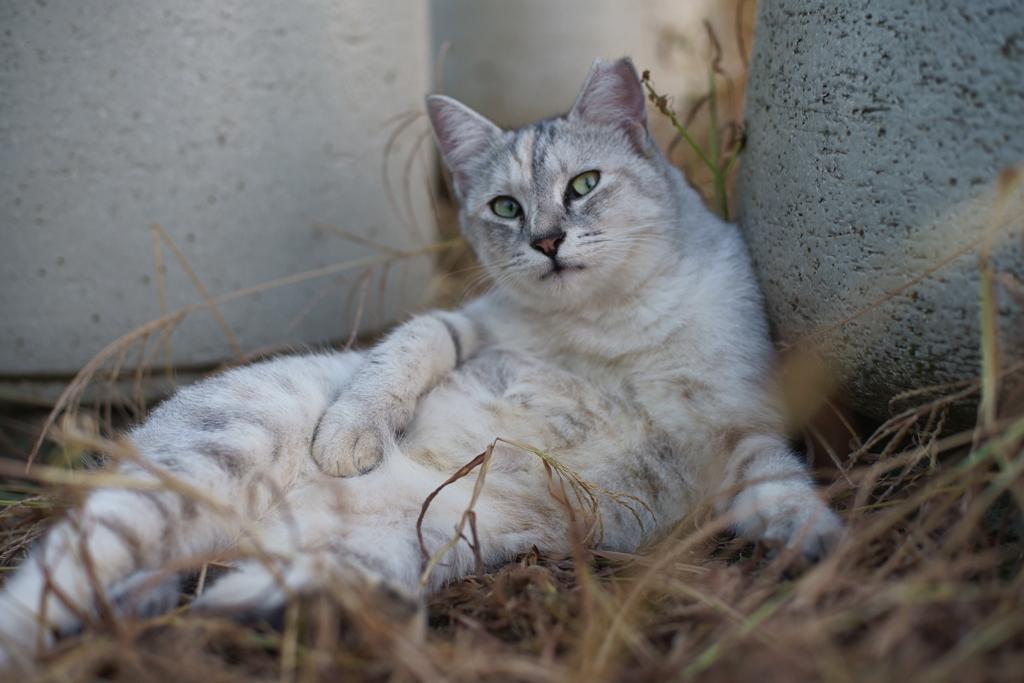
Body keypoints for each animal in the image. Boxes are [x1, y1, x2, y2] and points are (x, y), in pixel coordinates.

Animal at [0, 57, 839, 667]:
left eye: (583, 186)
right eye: (505, 207)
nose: (546, 241)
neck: (607, 327)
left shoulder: (738, 421)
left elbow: (780, 482)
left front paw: (815, 542)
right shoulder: (463, 324)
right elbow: (404, 350)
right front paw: (349, 436)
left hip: (383, 546)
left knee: (210, 593)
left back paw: (267, 608)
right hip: (193, 475)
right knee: (48, 582)